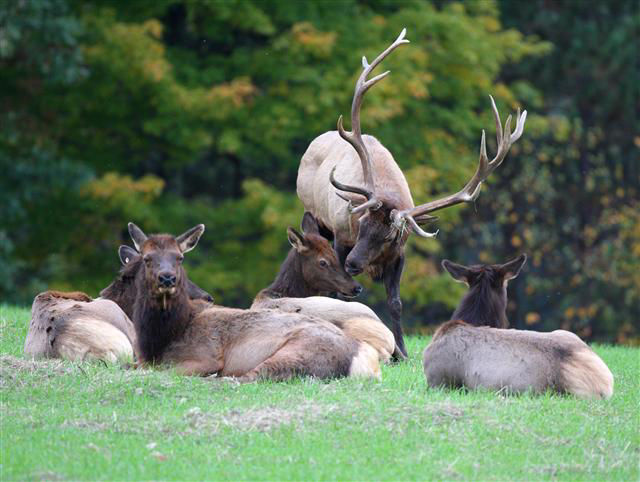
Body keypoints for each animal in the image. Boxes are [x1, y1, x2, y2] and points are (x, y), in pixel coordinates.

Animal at [106, 222, 381, 381]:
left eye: (179, 257)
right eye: (147, 258)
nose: (167, 278)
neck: (160, 338)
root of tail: (365, 361)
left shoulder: (206, 355)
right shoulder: (140, 358)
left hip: (300, 352)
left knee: (246, 378)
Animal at [296, 28, 528, 358]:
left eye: (388, 237)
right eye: (360, 223)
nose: (353, 263)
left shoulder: (400, 255)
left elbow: (396, 302)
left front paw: (403, 352)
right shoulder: (341, 237)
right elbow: (339, 293)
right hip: (317, 216)